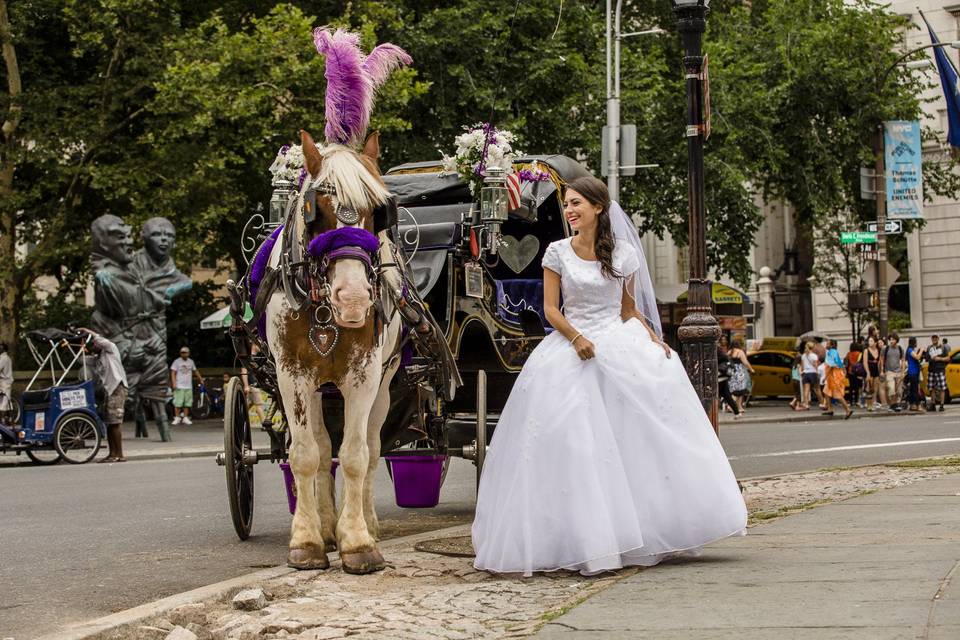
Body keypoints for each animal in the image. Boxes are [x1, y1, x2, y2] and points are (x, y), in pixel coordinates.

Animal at [262, 127, 402, 572]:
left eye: (379, 211)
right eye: (316, 209)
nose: (353, 298)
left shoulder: (363, 377)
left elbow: (356, 454)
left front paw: (356, 540)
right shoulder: (292, 376)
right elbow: (306, 454)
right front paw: (307, 540)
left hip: (385, 384)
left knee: (372, 450)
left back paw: (364, 523)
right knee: (323, 452)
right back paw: (326, 525)